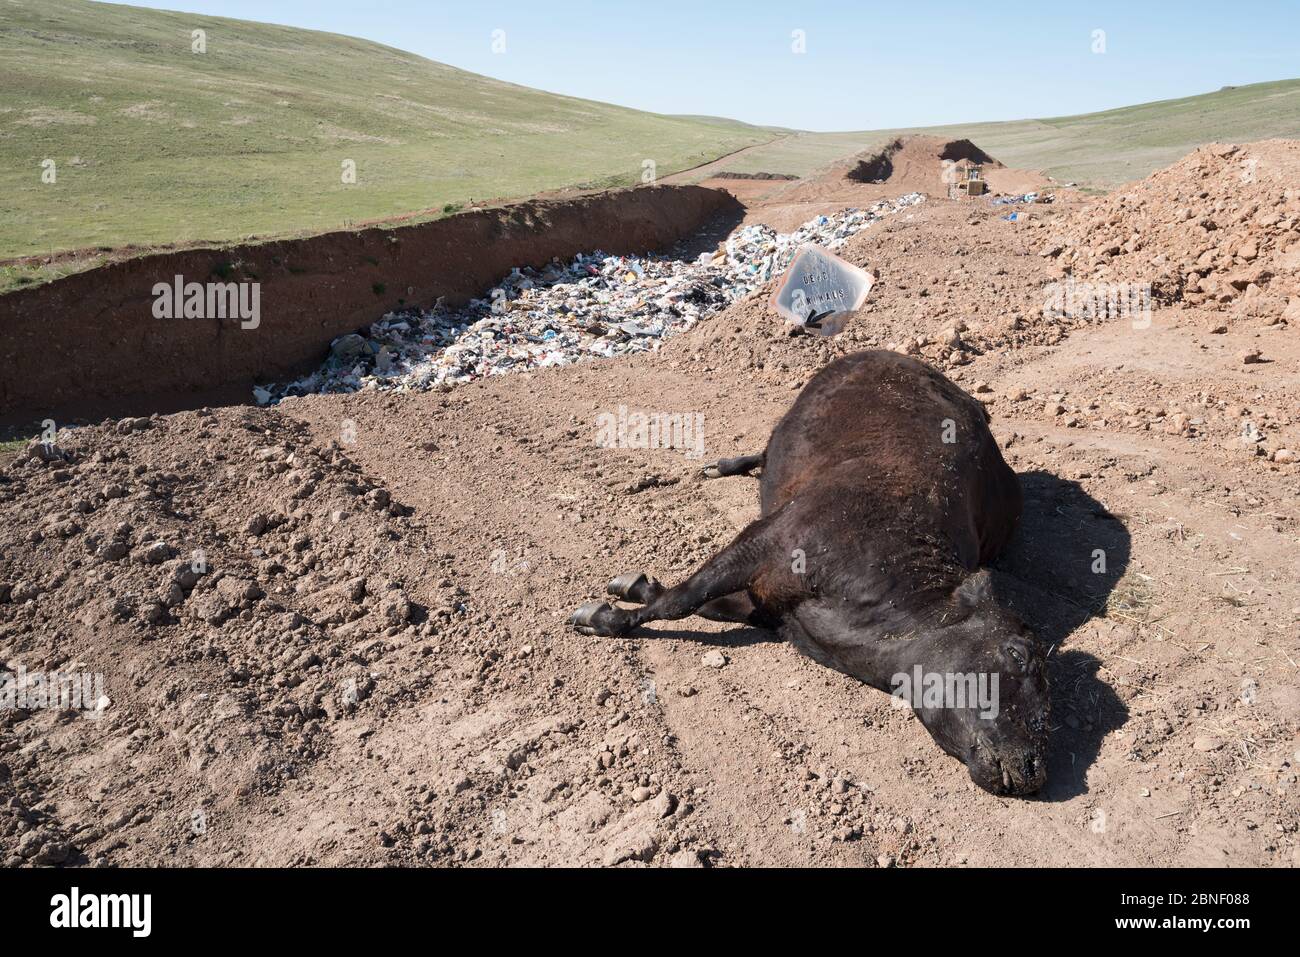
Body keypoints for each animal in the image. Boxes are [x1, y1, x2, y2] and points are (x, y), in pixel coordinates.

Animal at [569, 348, 1045, 790]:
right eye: (1017, 653)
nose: (1032, 768)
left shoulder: (768, 605)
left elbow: (698, 602)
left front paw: (635, 589)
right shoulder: (768, 540)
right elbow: (681, 600)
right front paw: (602, 616)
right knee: (762, 451)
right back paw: (722, 465)